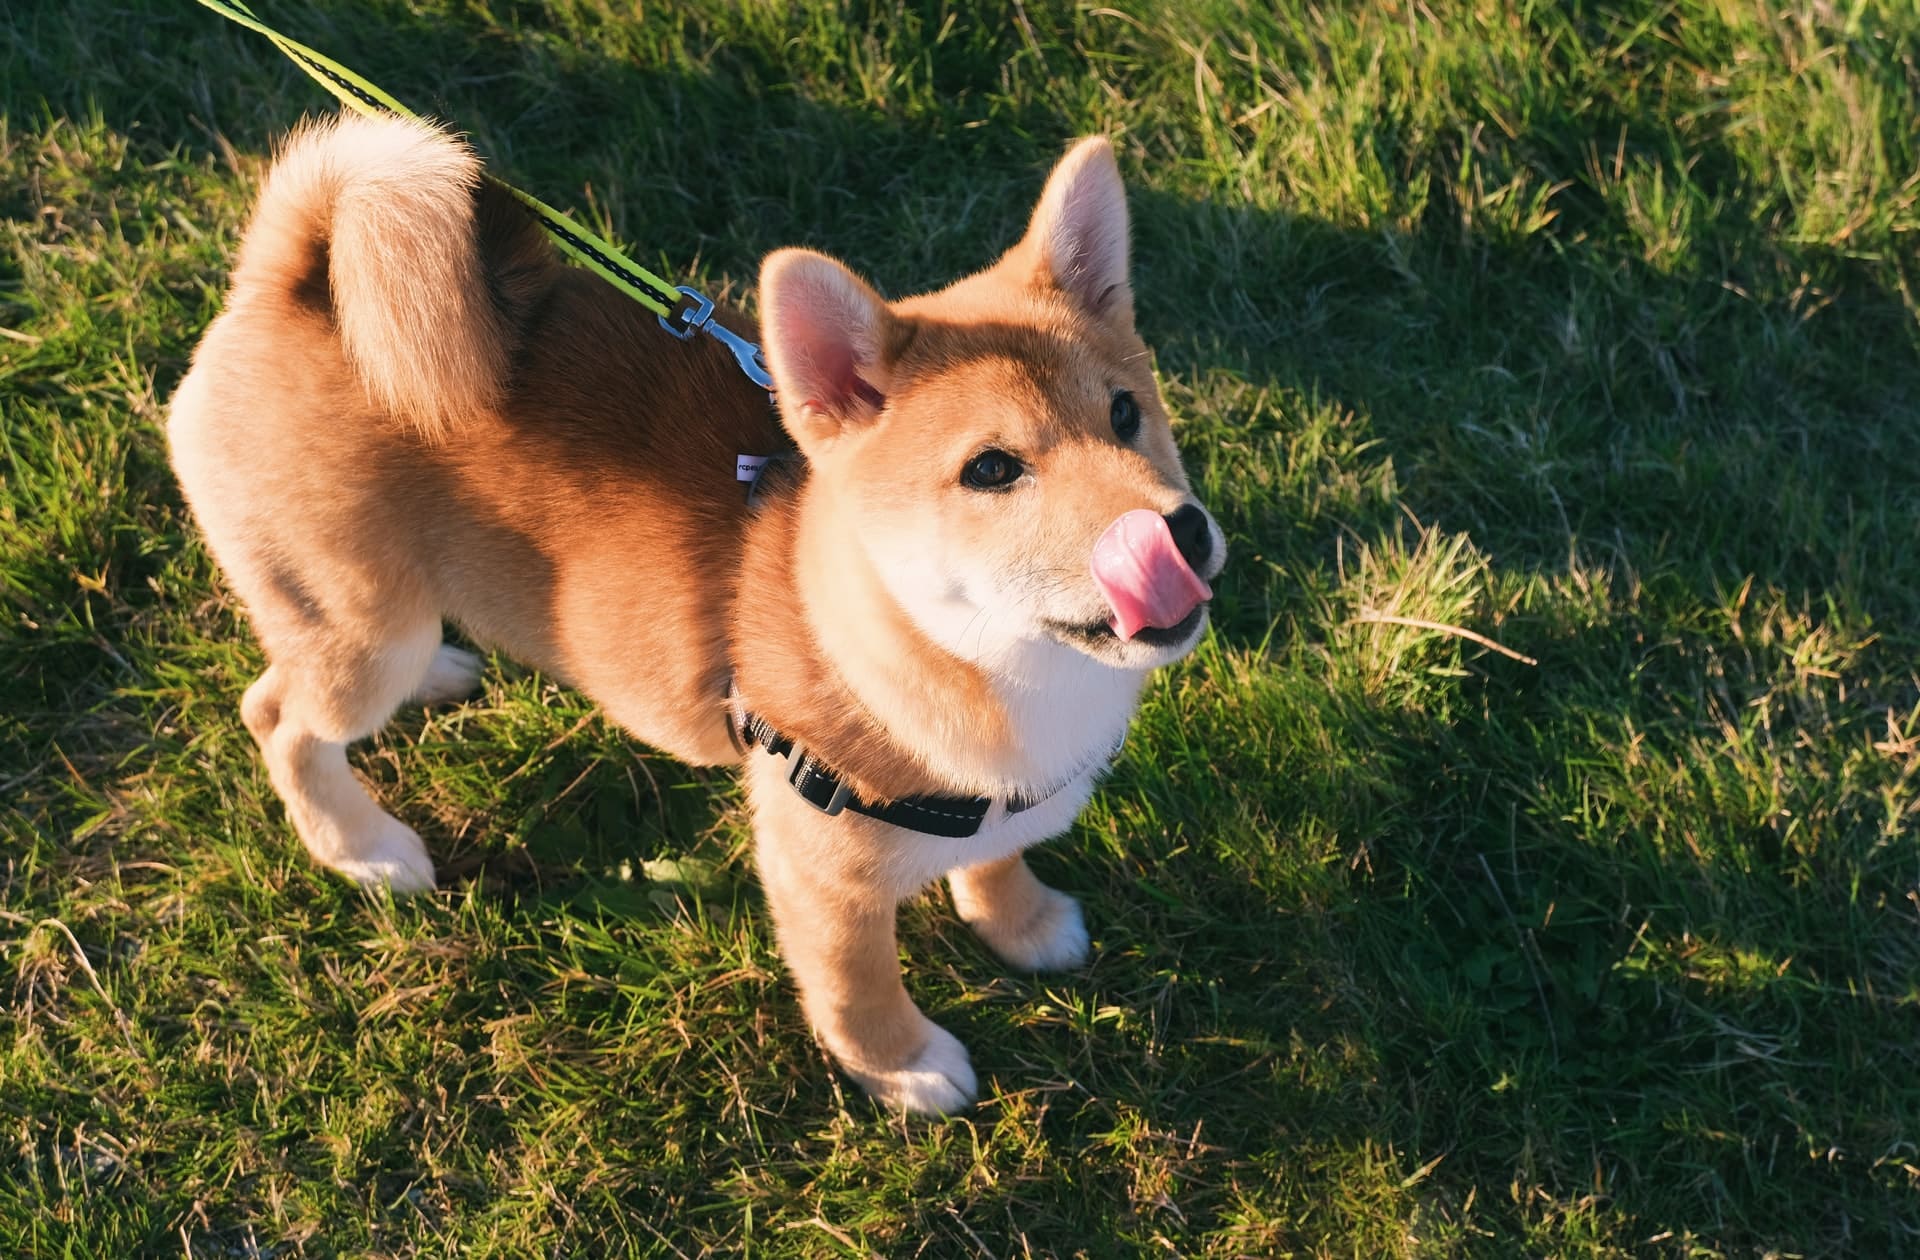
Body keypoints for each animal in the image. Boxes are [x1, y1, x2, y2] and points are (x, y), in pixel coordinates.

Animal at [161, 115, 1213, 1114]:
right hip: (360, 627)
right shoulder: (820, 877)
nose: (1181, 533)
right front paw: (901, 1067)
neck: (983, 668)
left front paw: (1021, 923)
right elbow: (855, 985)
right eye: (991, 469)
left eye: (1126, 413)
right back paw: (364, 847)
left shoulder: (1002, 806)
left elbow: (999, 859)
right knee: (281, 718)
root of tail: (293, 284)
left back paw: (441, 677)